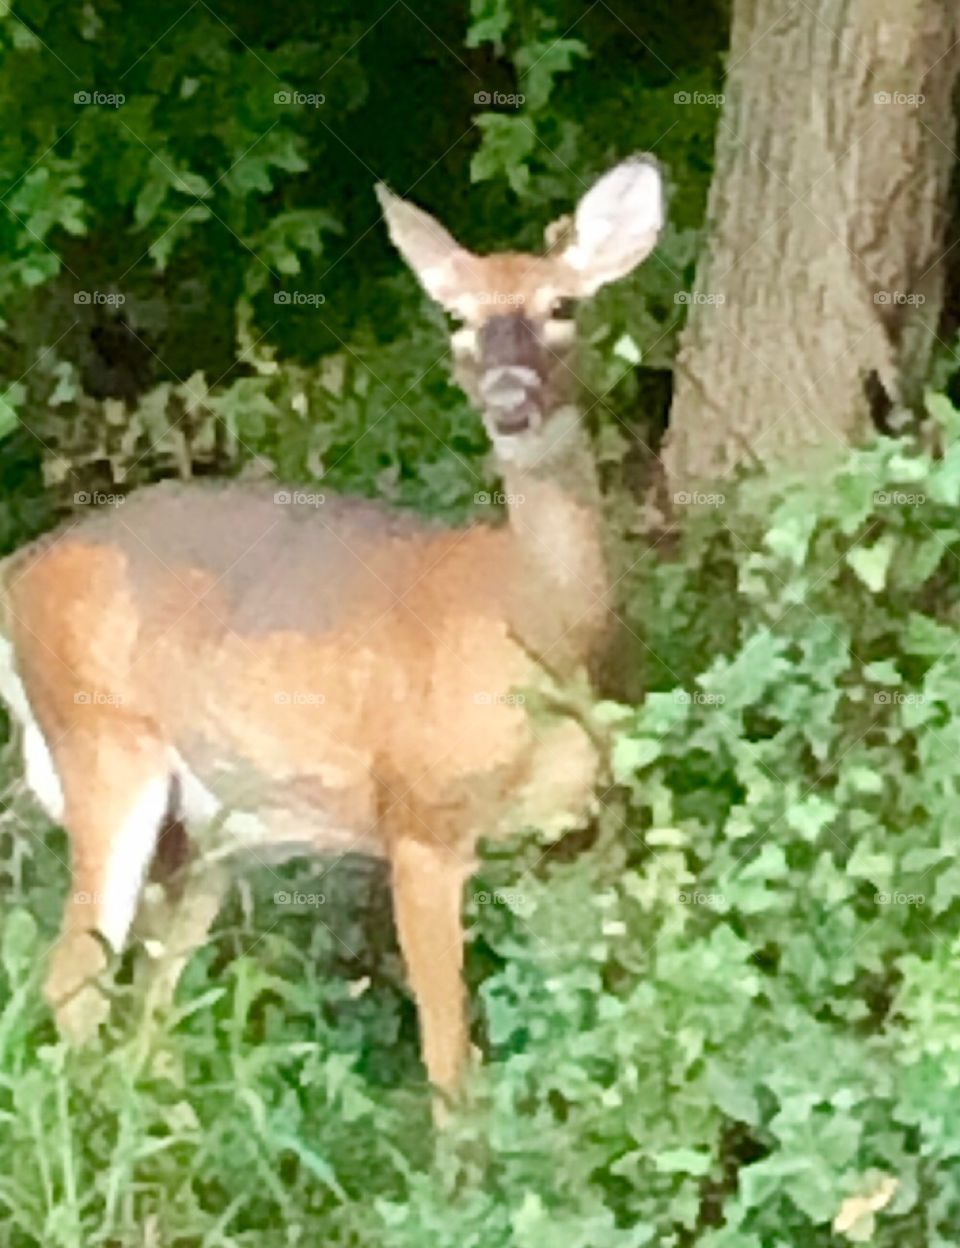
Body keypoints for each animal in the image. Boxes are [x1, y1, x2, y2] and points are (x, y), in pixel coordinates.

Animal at [0, 156, 663, 1104]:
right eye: (457, 318)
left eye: (562, 305)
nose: (509, 398)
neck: (540, 631)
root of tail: (16, 573)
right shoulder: (417, 821)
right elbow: (449, 1064)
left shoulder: (573, 831)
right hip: (102, 745)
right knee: (73, 984)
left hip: (205, 829)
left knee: (150, 1000)